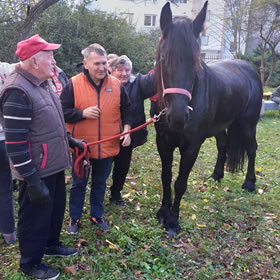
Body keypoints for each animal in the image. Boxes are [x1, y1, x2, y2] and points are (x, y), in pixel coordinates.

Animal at [154, 1, 264, 236]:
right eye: (163, 59)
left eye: (197, 62)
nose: (178, 117)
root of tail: (249, 68)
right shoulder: (163, 142)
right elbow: (166, 177)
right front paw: (162, 212)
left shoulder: (192, 146)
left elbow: (180, 182)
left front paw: (173, 221)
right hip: (221, 126)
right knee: (223, 145)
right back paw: (217, 175)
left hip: (248, 125)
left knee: (252, 148)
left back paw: (250, 183)